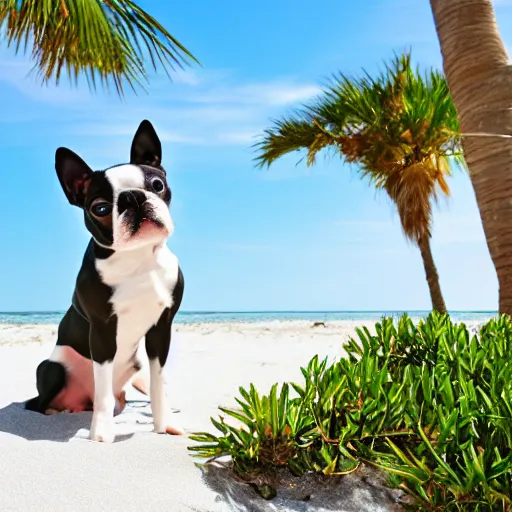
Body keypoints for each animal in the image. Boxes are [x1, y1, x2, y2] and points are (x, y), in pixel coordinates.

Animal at [25, 121, 184, 444]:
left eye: (157, 185)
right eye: (99, 208)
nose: (133, 197)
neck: (137, 258)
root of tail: (77, 403)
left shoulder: (161, 329)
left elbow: (159, 383)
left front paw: (163, 424)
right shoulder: (102, 330)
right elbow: (102, 390)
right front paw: (101, 432)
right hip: (51, 368)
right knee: (41, 403)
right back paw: (57, 410)